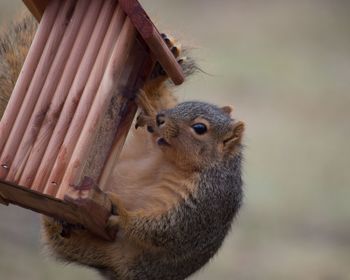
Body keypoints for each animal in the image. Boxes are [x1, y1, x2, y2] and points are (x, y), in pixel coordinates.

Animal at [1, 9, 245, 278]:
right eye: (182, 106)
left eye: (200, 128)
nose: (161, 118)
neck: (172, 161)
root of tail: (110, 268)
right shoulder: (154, 141)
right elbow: (160, 100)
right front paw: (160, 72)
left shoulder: (204, 202)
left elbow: (166, 229)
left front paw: (124, 215)